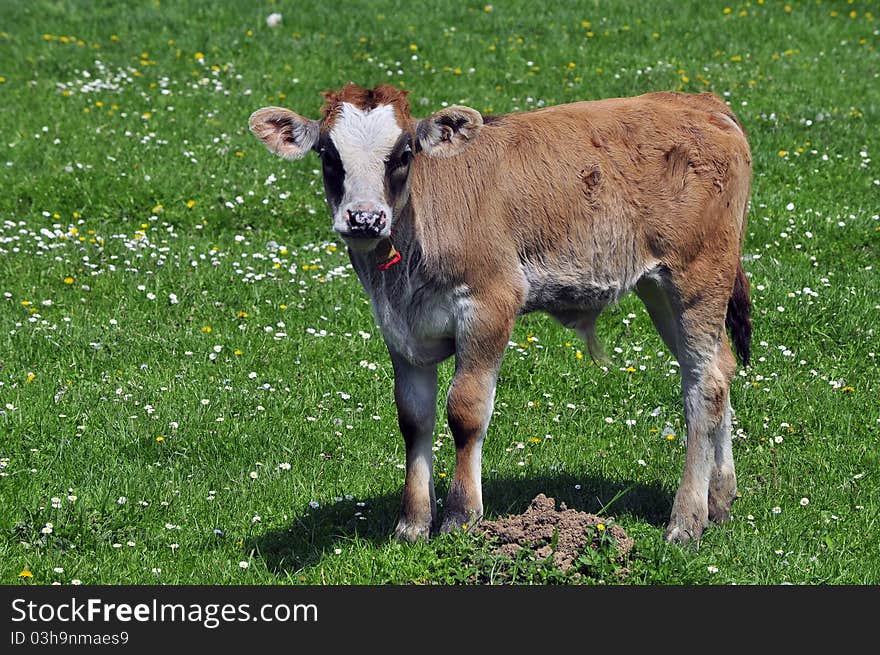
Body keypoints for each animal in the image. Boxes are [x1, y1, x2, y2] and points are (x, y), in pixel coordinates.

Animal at [251, 84, 752, 544]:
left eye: (404, 153)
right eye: (328, 155)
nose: (364, 218)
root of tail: (696, 101)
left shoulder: (489, 304)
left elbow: (466, 410)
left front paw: (460, 515)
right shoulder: (400, 329)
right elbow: (413, 418)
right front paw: (412, 523)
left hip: (697, 278)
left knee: (703, 387)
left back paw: (686, 521)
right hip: (660, 290)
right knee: (718, 371)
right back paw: (720, 498)